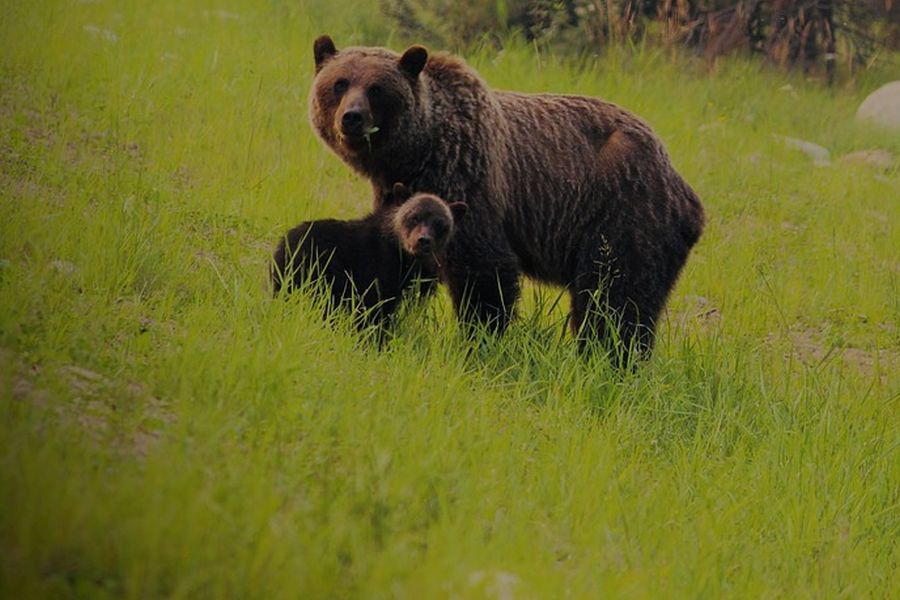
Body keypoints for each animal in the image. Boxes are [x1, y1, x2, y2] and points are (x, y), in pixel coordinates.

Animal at [308, 37, 704, 366]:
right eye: (339, 83)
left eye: (376, 88)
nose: (352, 117)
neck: (416, 152)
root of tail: (683, 187)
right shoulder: (398, 194)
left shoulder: (467, 177)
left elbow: (483, 269)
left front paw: (479, 340)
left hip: (624, 214)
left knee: (616, 298)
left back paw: (609, 360)